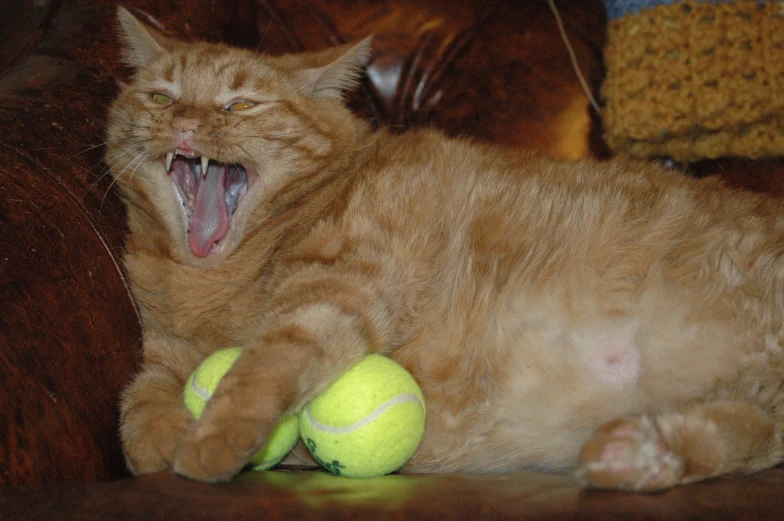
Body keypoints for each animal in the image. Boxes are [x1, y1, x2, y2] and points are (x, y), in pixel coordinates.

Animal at [108, 6, 784, 490]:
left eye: (241, 104)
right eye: (161, 96)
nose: (184, 124)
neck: (214, 284)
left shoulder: (336, 293)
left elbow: (263, 363)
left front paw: (213, 438)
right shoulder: (163, 355)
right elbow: (136, 410)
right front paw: (170, 436)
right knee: (753, 428)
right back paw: (641, 453)